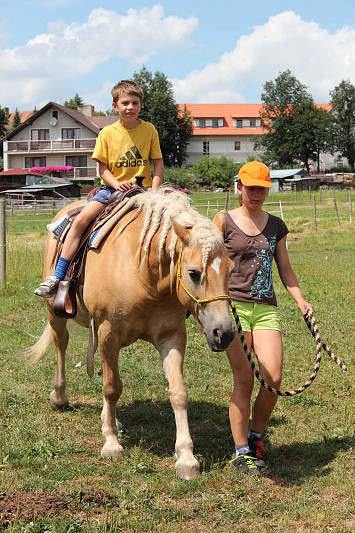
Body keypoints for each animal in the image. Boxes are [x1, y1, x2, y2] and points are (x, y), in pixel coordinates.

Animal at [28, 190, 236, 478]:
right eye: (193, 273)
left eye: (230, 270)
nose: (223, 333)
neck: (145, 275)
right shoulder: (108, 333)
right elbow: (112, 388)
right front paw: (111, 444)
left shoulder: (171, 337)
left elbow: (178, 392)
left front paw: (186, 457)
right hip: (56, 313)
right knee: (62, 344)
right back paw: (60, 397)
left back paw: (110, 418)